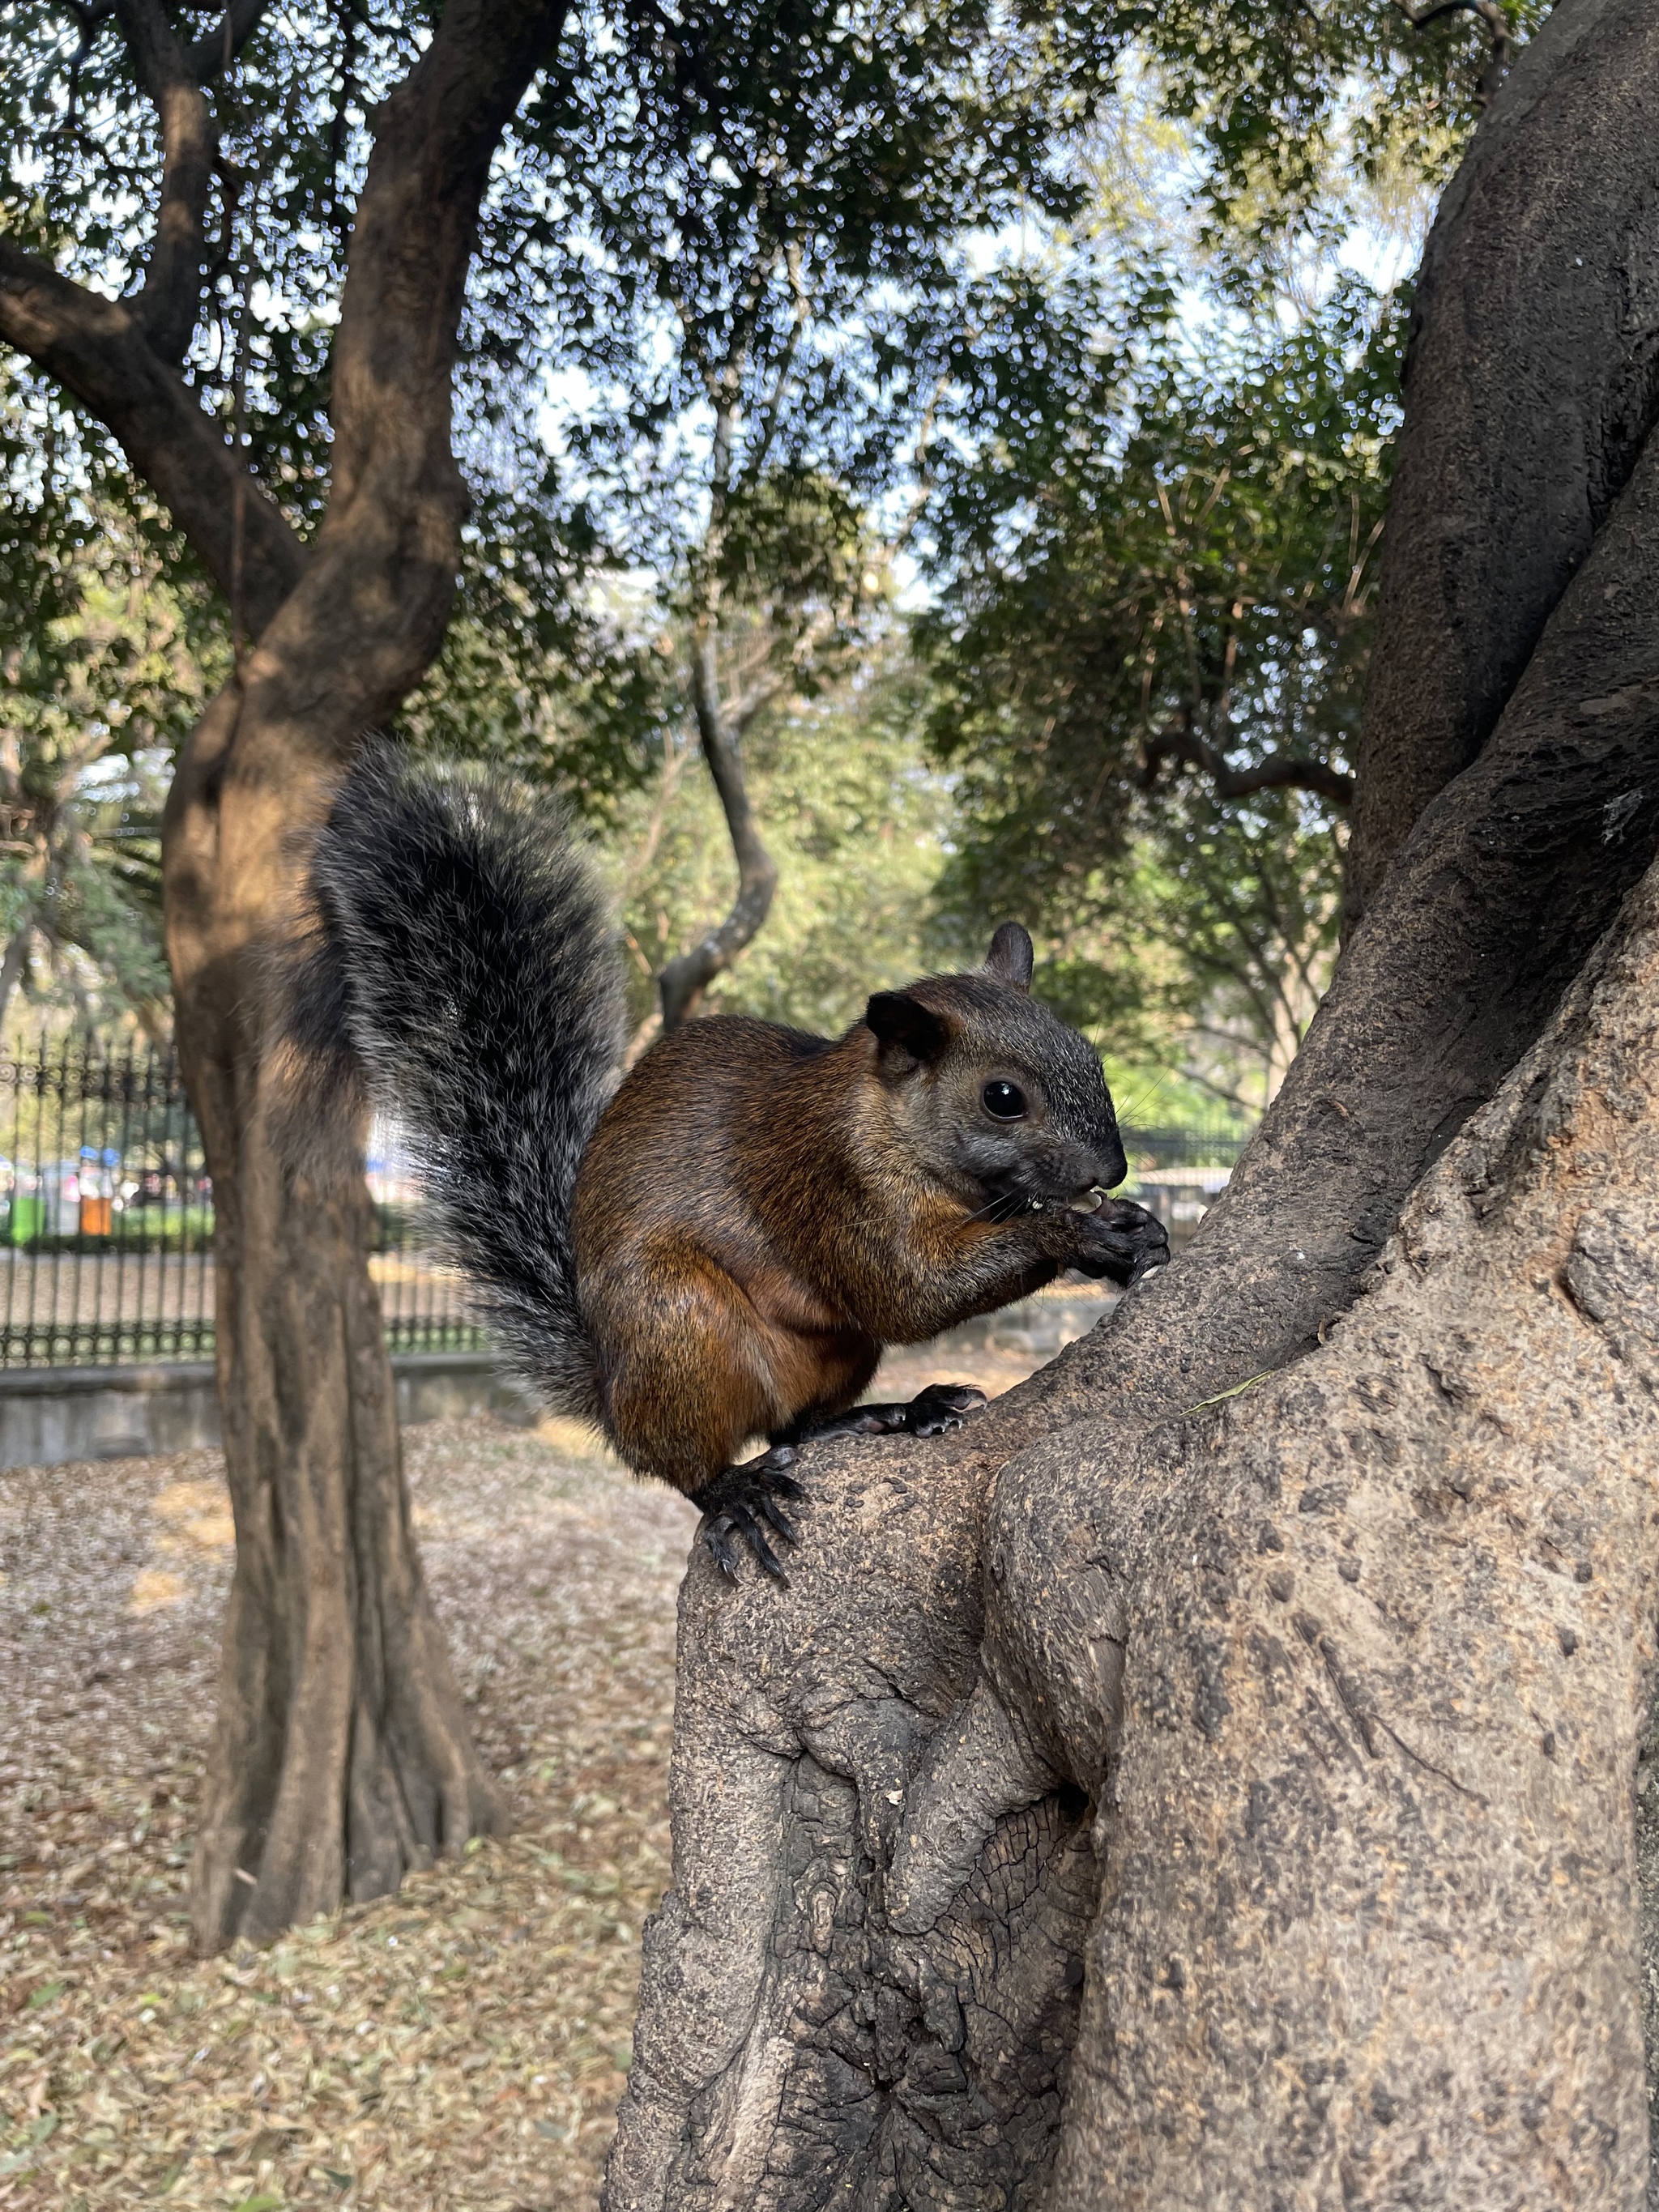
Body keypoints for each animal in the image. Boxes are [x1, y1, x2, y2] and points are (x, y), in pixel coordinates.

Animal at [285, 743, 1167, 1575]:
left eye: (1088, 1051)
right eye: (1002, 1097)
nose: (1111, 1170)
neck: (889, 1123)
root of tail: (612, 1397)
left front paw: (1134, 1233)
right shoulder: (824, 1180)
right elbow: (907, 1292)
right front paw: (1080, 1234)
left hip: (835, 1354)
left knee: (797, 1427)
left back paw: (891, 1412)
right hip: (676, 1321)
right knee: (692, 1465)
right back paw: (735, 1491)